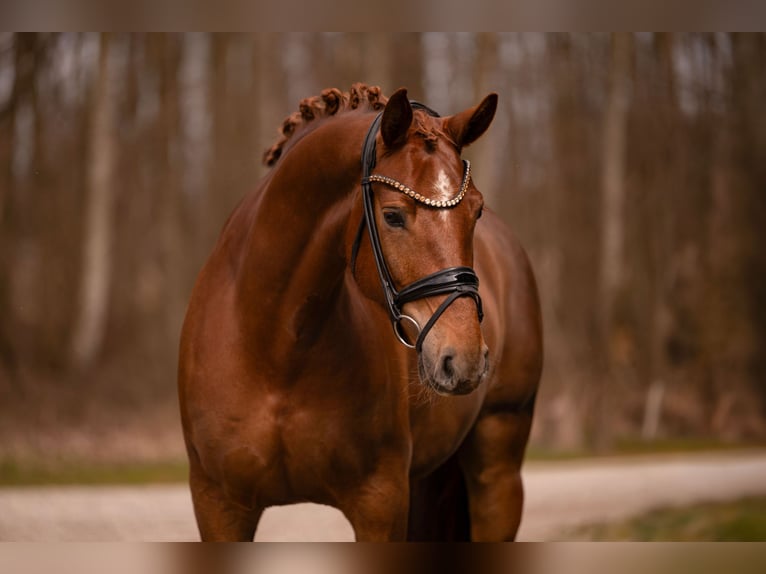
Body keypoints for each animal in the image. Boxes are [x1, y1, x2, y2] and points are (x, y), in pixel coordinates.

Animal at [178, 84, 542, 541]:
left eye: (475, 210)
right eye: (392, 216)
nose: (465, 360)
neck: (274, 350)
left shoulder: (379, 502)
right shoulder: (219, 505)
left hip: (498, 469)